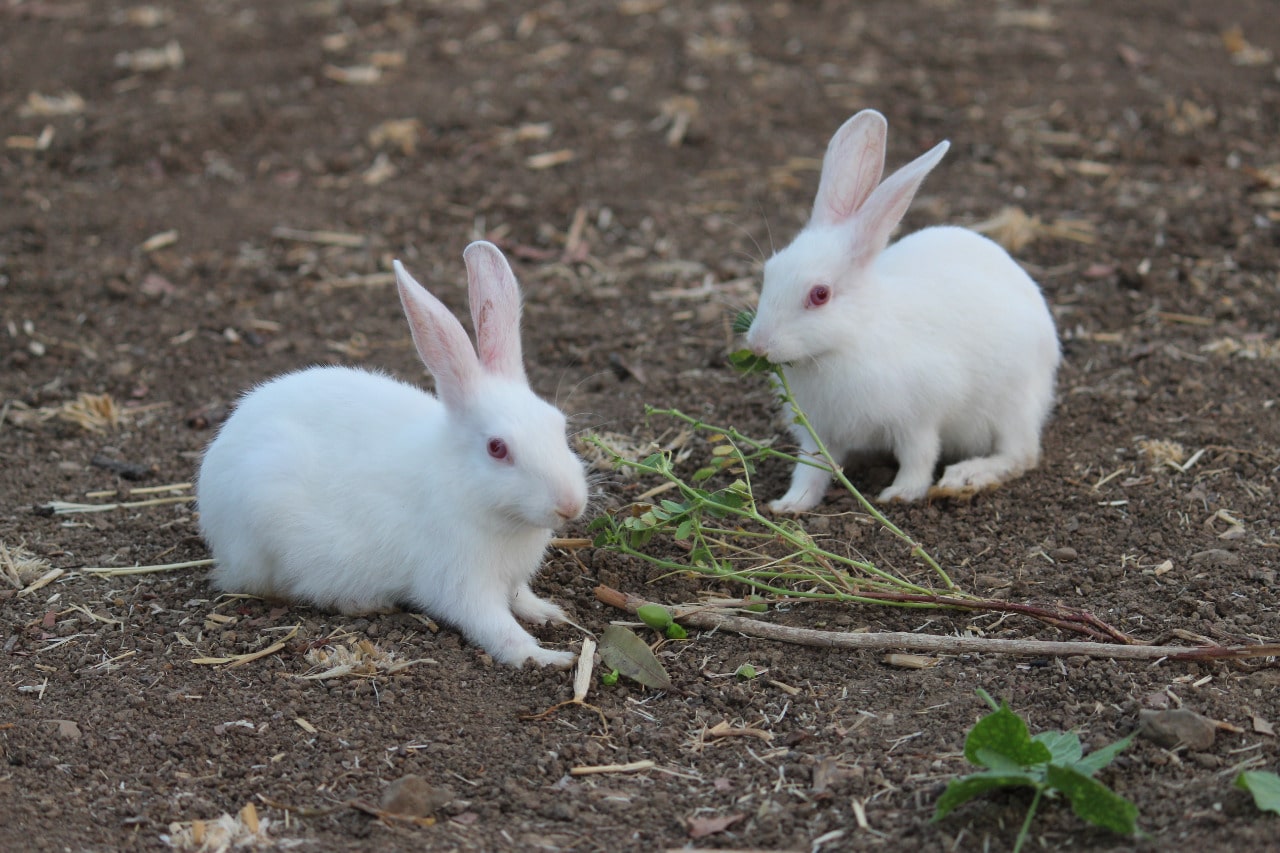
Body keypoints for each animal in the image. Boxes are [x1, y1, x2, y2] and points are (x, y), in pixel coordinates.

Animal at [196, 241, 589, 668]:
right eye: (497, 448)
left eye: (558, 424)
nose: (571, 505)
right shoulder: (461, 582)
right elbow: (497, 628)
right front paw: (550, 657)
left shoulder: (510, 579)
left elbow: (521, 599)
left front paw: (551, 614)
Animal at [744, 109, 1061, 512]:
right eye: (769, 271)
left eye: (820, 294)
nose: (758, 345)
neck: (847, 342)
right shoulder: (819, 432)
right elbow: (810, 469)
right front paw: (788, 504)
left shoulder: (919, 417)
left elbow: (919, 457)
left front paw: (900, 494)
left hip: (1013, 405)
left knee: (1020, 455)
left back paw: (965, 477)